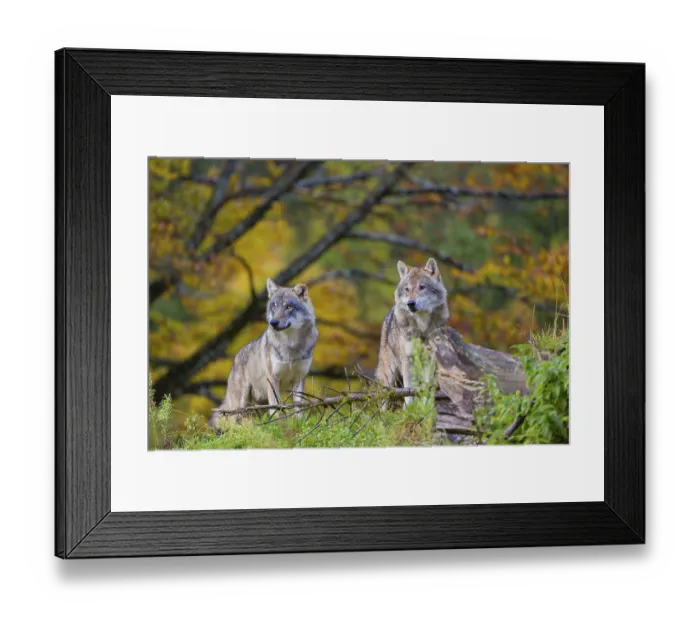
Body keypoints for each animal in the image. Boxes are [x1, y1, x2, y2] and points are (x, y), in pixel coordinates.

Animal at [209, 279, 318, 428]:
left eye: (288, 307)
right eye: (274, 306)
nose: (273, 322)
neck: (291, 345)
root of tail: (236, 358)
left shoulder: (299, 378)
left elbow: (298, 407)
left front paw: (298, 424)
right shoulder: (272, 378)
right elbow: (276, 407)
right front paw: (277, 426)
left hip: (258, 404)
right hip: (240, 401)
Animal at [376, 258, 449, 403]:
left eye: (422, 287)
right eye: (407, 289)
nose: (410, 303)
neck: (422, 327)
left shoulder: (429, 360)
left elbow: (426, 390)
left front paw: (425, 407)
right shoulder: (407, 360)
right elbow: (408, 393)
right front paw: (411, 409)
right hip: (389, 376)